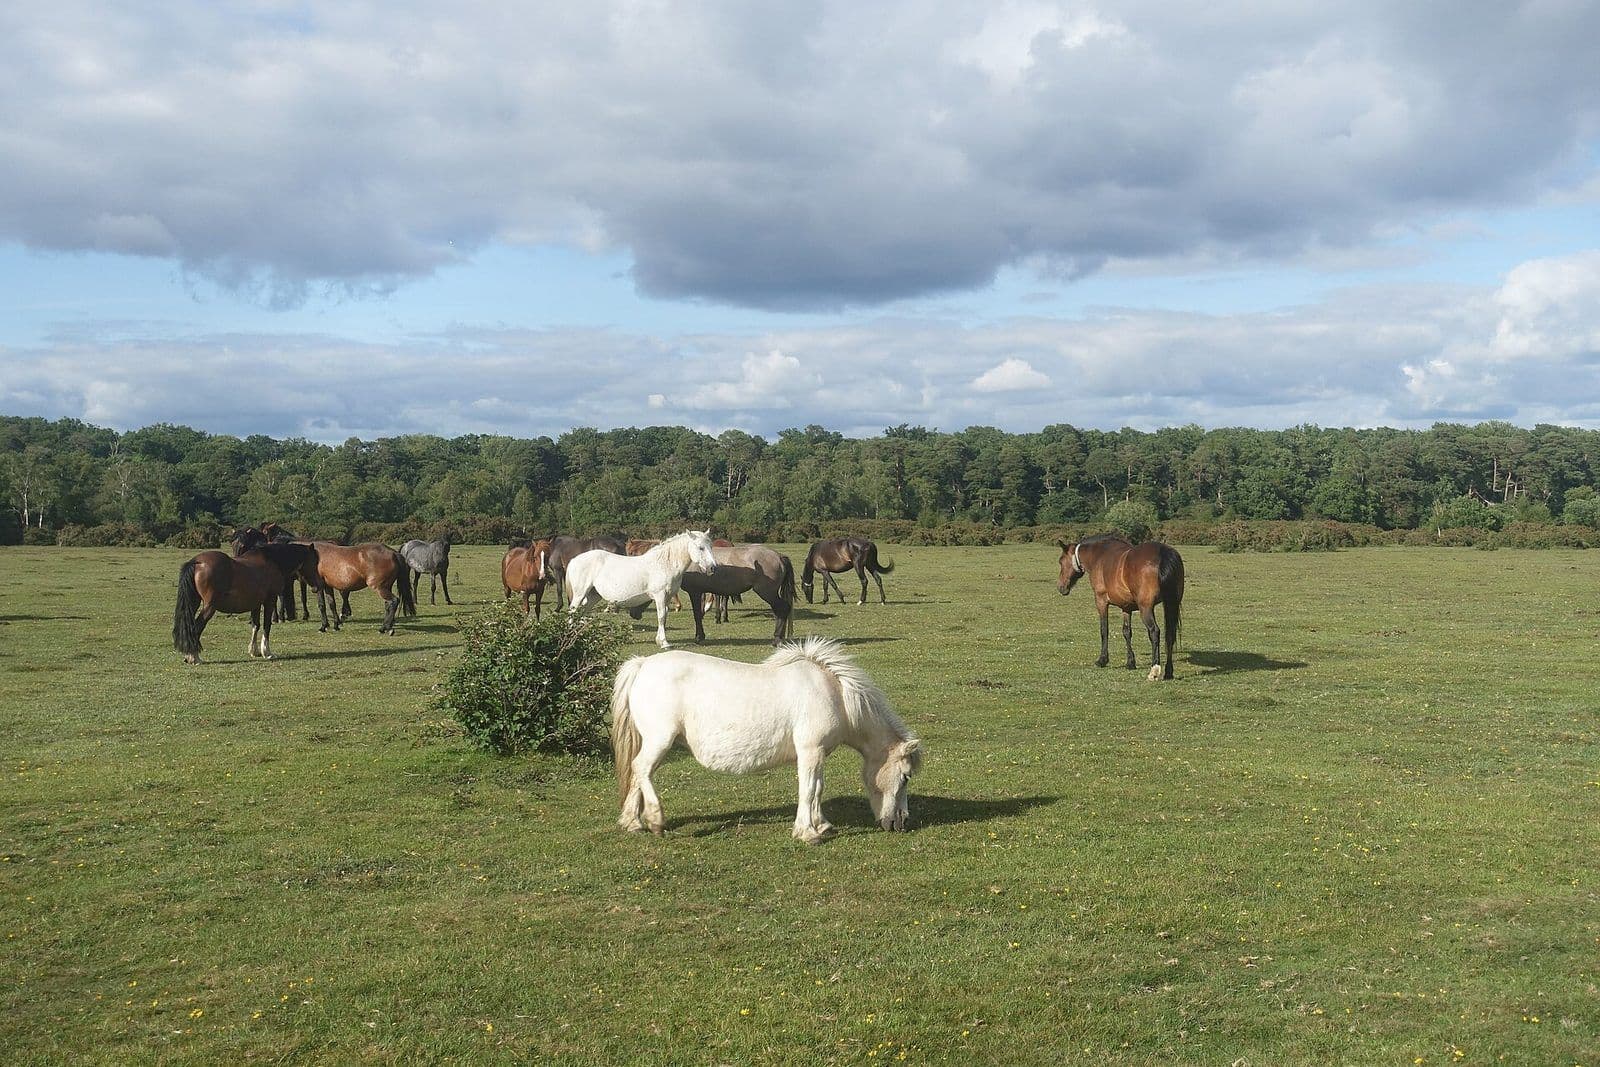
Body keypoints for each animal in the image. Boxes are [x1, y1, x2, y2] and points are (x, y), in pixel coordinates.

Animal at [173, 539, 319, 664]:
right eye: (314, 562)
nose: (316, 587)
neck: (273, 561)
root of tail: (197, 562)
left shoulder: (256, 604)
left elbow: (256, 625)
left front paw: (254, 651)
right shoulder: (270, 600)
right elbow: (266, 626)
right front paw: (267, 652)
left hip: (194, 603)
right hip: (209, 607)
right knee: (196, 628)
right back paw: (194, 658)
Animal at [564, 530, 717, 648]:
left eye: (710, 546)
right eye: (701, 547)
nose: (712, 568)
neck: (664, 564)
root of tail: (574, 560)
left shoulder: (667, 597)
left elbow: (664, 617)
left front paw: (659, 640)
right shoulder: (660, 596)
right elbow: (661, 616)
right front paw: (664, 643)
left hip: (593, 596)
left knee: (582, 613)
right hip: (580, 594)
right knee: (573, 612)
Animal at [610, 636, 923, 842]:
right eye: (905, 776)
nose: (901, 823)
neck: (837, 696)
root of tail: (642, 664)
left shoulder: (818, 753)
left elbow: (817, 788)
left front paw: (821, 825)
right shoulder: (810, 751)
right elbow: (809, 789)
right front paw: (808, 832)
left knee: (638, 774)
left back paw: (632, 822)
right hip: (660, 740)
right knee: (641, 769)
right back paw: (655, 820)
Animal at [1057, 535, 1185, 680]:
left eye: (1061, 562)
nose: (1061, 587)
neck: (1098, 556)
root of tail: (1162, 552)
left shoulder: (1101, 602)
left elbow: (1104, 629)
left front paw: (1102, 660)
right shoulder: (1126, 607)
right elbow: (1126, 632)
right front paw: (1130, 662)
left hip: (1146, 608)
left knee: (1154, 632)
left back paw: (1154, 670)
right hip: (1171, 604)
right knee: (1170, 635)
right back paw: (1168, 672)